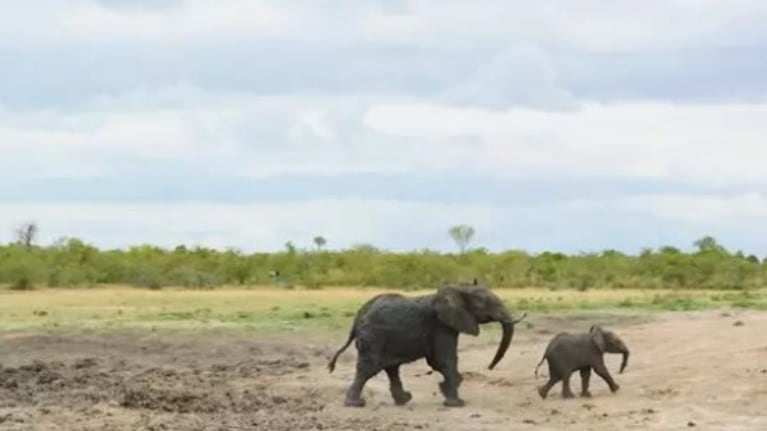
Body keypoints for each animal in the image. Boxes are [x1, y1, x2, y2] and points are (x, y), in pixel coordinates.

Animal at [324, 284, 528, 408]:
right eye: (488, 304)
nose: (490, 367)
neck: (458, 289)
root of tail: (358, 317)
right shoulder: (441, 326)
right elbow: (445, 359)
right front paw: (456, 403)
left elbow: (436, 361)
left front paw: (446, 387)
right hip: (374, 338)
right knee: (369, 368)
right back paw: (356, 404)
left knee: (391, 368)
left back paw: (404, 400)